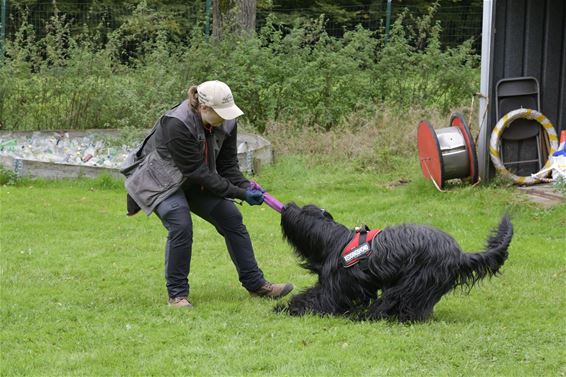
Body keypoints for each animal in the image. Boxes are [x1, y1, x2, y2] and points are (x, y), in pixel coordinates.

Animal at [278, 203, 516, 320]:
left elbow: (319, 299)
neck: (335, 239)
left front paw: (288, 308)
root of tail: (459, 255)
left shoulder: (337, 285)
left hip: (413, 281)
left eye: (301, 211)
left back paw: (369, 316)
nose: (288, 204)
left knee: (396, 302)